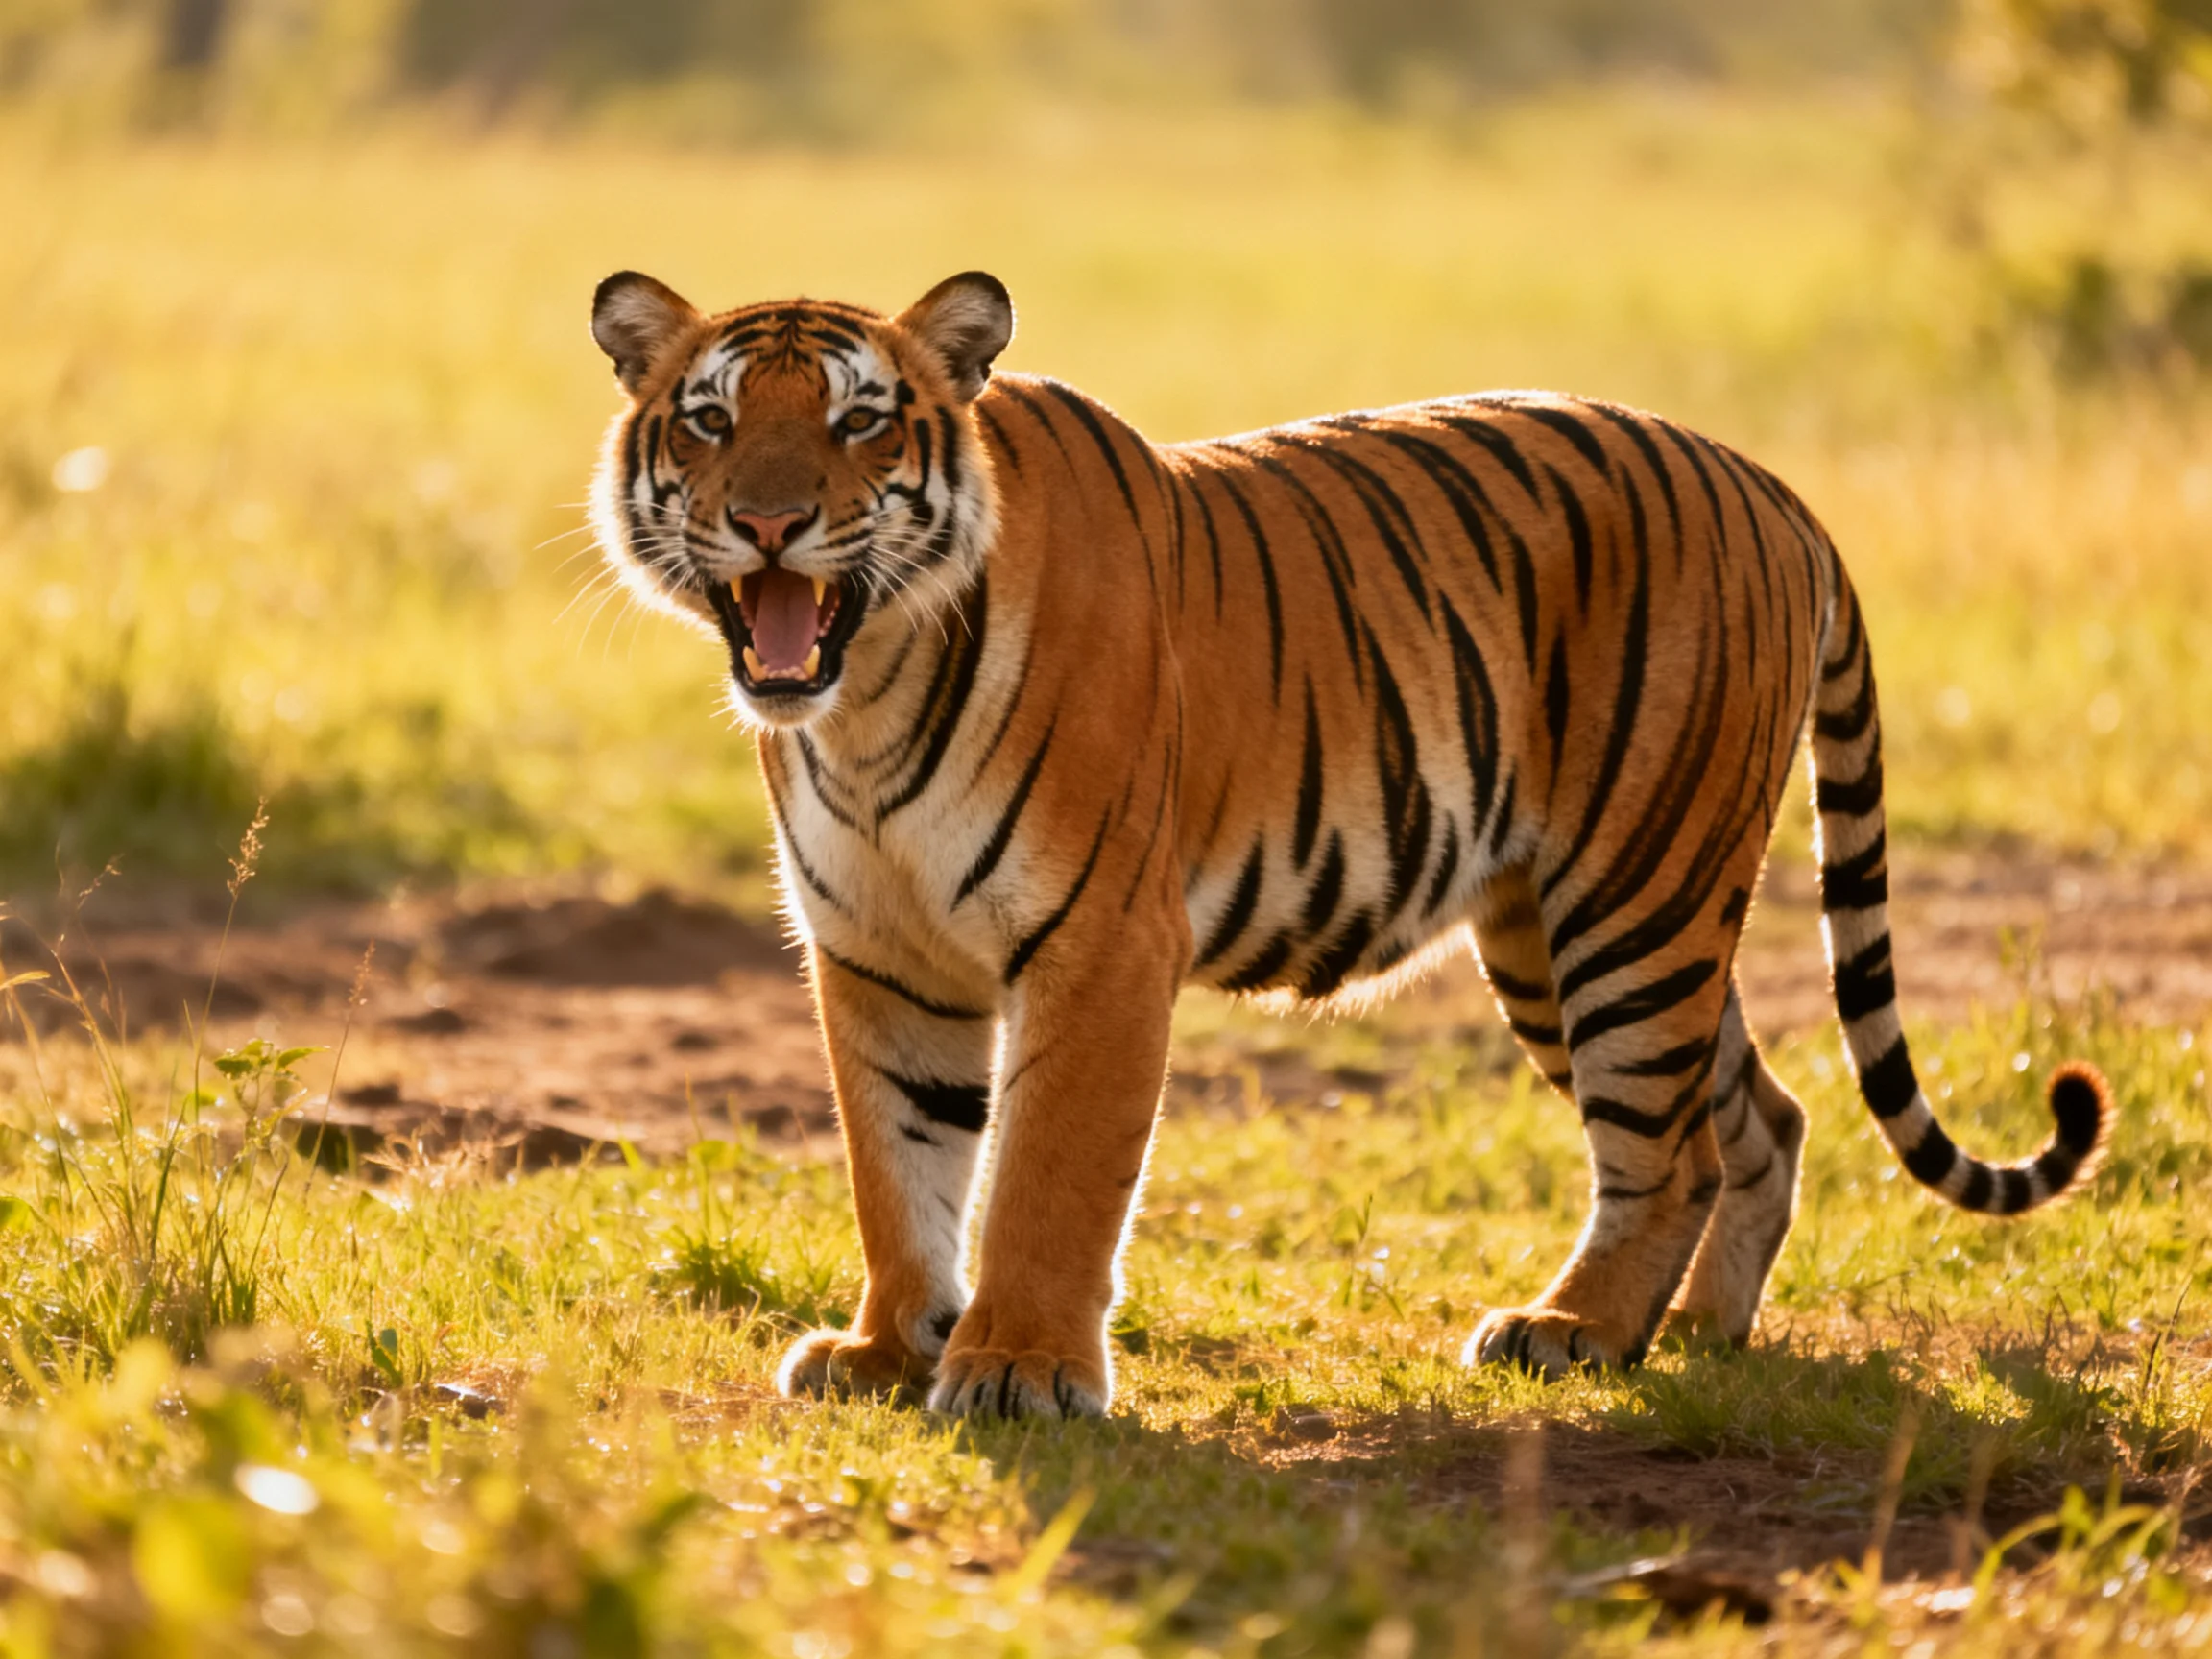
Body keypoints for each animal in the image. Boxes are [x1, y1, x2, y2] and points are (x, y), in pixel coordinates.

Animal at [587, 268, 2109, 1420]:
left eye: (862, 422)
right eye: (711, 420)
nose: (768, 521)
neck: (870, 698)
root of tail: (1773, 486)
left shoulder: (1099, 943)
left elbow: (1043, 1178)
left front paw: (1016, 1367)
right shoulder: (881, 953)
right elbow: (898, 1166)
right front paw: (889, 1352)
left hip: (1634, 898)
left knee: (1666, 1144)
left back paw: (1573, 1333)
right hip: (1560, 927)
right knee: (1753, 1113)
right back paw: (1691, 1334)